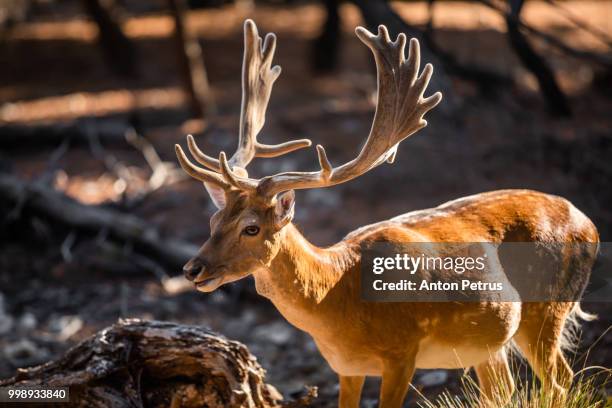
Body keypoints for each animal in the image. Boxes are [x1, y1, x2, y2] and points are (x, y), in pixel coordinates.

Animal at [175, 19, 600, 408]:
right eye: (213, 221)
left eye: (251, 228)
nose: (192, 269)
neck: (336, 297)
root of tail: (589, 223)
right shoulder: (345, 367)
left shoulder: (402, 352)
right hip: (490, 341)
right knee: (507, 390)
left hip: (547, 307)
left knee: (561, 382)